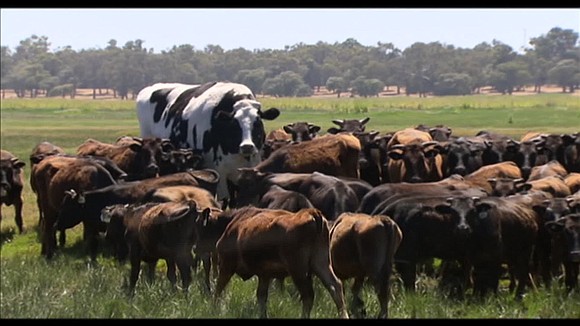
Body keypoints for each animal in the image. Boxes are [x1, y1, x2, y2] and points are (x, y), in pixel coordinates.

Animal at [212, 206, 352, 318]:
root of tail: (312, 213)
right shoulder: (264, 275)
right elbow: (261, 296)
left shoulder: (226, 266)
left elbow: (219, 289)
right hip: (321, 264)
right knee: (335, 286)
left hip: (298, 270)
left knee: (308, 295)